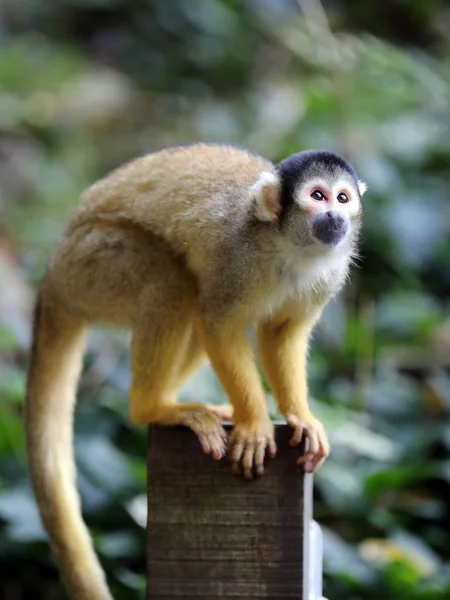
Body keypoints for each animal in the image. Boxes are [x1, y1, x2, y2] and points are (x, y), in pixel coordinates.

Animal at [24, 145, 366, 600]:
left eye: (343, 198)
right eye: (317, 196)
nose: (335, 217)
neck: (290, 245)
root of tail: (52, 275)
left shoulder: (329, 273)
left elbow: (281, 335)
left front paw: (300, 416)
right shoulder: (238, 256)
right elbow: (217, 322)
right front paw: (255, 424)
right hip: (89, 269)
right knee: (171, 278)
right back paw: (154, 407)